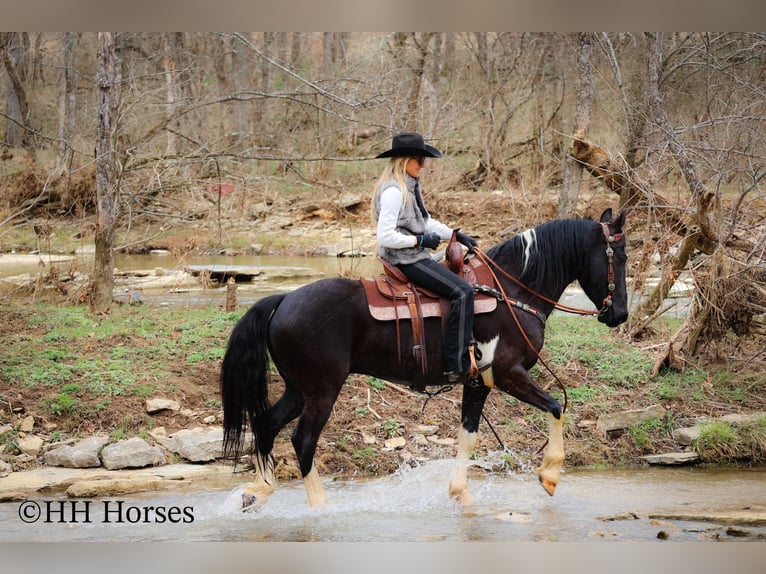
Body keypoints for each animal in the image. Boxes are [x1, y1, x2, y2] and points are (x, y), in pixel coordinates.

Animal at [219, 209, 628, 510]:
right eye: (619, 257)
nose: (620, 314)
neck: (511, 290)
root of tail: (283, 300)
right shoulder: (507, 374)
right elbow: (556, 406)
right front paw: (550, 475)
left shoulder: (478, 382)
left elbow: (468, 437)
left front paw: (461, 494)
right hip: (322, 390)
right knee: (303, 439)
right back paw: (320, 507)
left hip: (298, 388)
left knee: (266, 424)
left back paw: (257, 491)